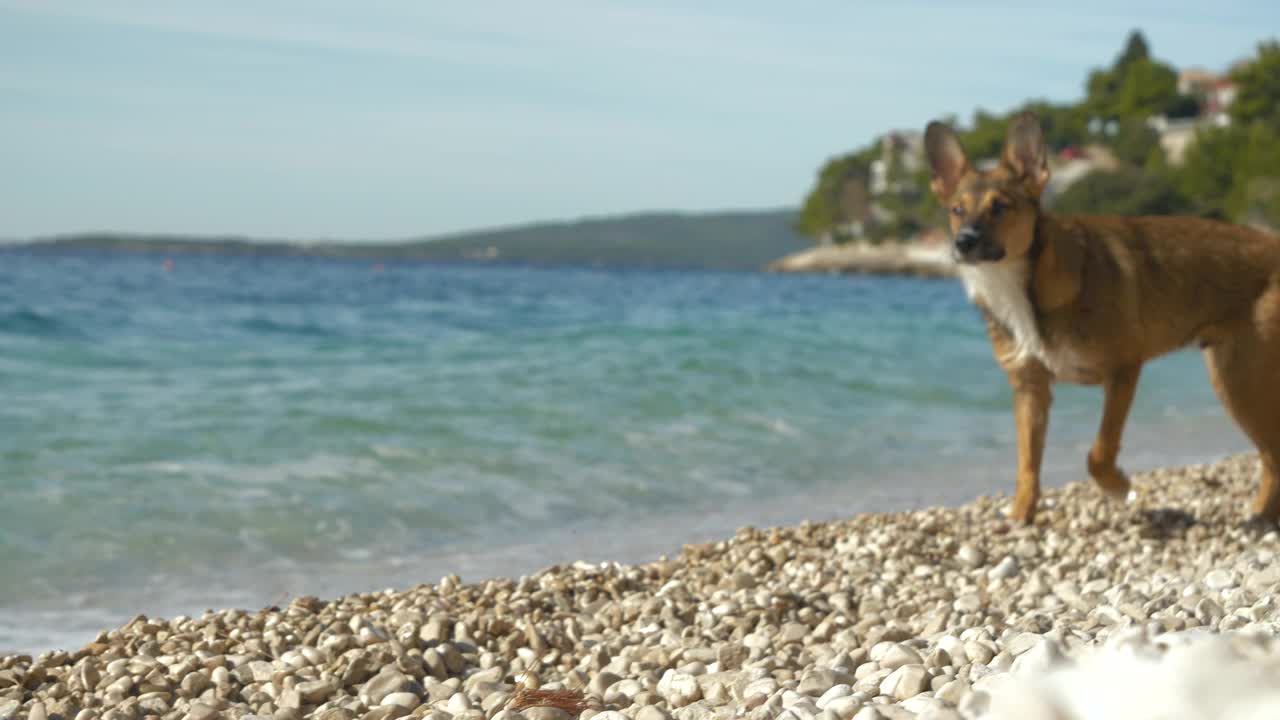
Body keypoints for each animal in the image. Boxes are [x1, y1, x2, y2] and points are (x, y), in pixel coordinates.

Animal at [926, 110, 1280, 520]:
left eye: (1000, 207)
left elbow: (1098, 453)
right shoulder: (1030, 388)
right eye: (956, 210)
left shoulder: (1123, 372)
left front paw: (1118, 487)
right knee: (1271, 458)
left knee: (1273, 455)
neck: (1021, 281)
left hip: (1242, 381)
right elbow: (1027, 464)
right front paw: (1019, 516)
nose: (962, 242)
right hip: (1231, 379)